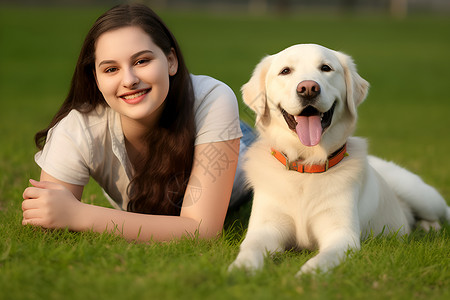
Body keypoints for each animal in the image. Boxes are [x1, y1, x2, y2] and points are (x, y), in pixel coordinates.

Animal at [230, 44, 448, 276]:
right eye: (285, 71)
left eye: (326, 68)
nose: (308, 88)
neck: (306, 166)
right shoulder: (265, 228)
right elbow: (250, 248)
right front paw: (240, 269)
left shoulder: (341, 235)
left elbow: (321, 260)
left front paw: (305, 276)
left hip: (422, 195)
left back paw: (430, 227)